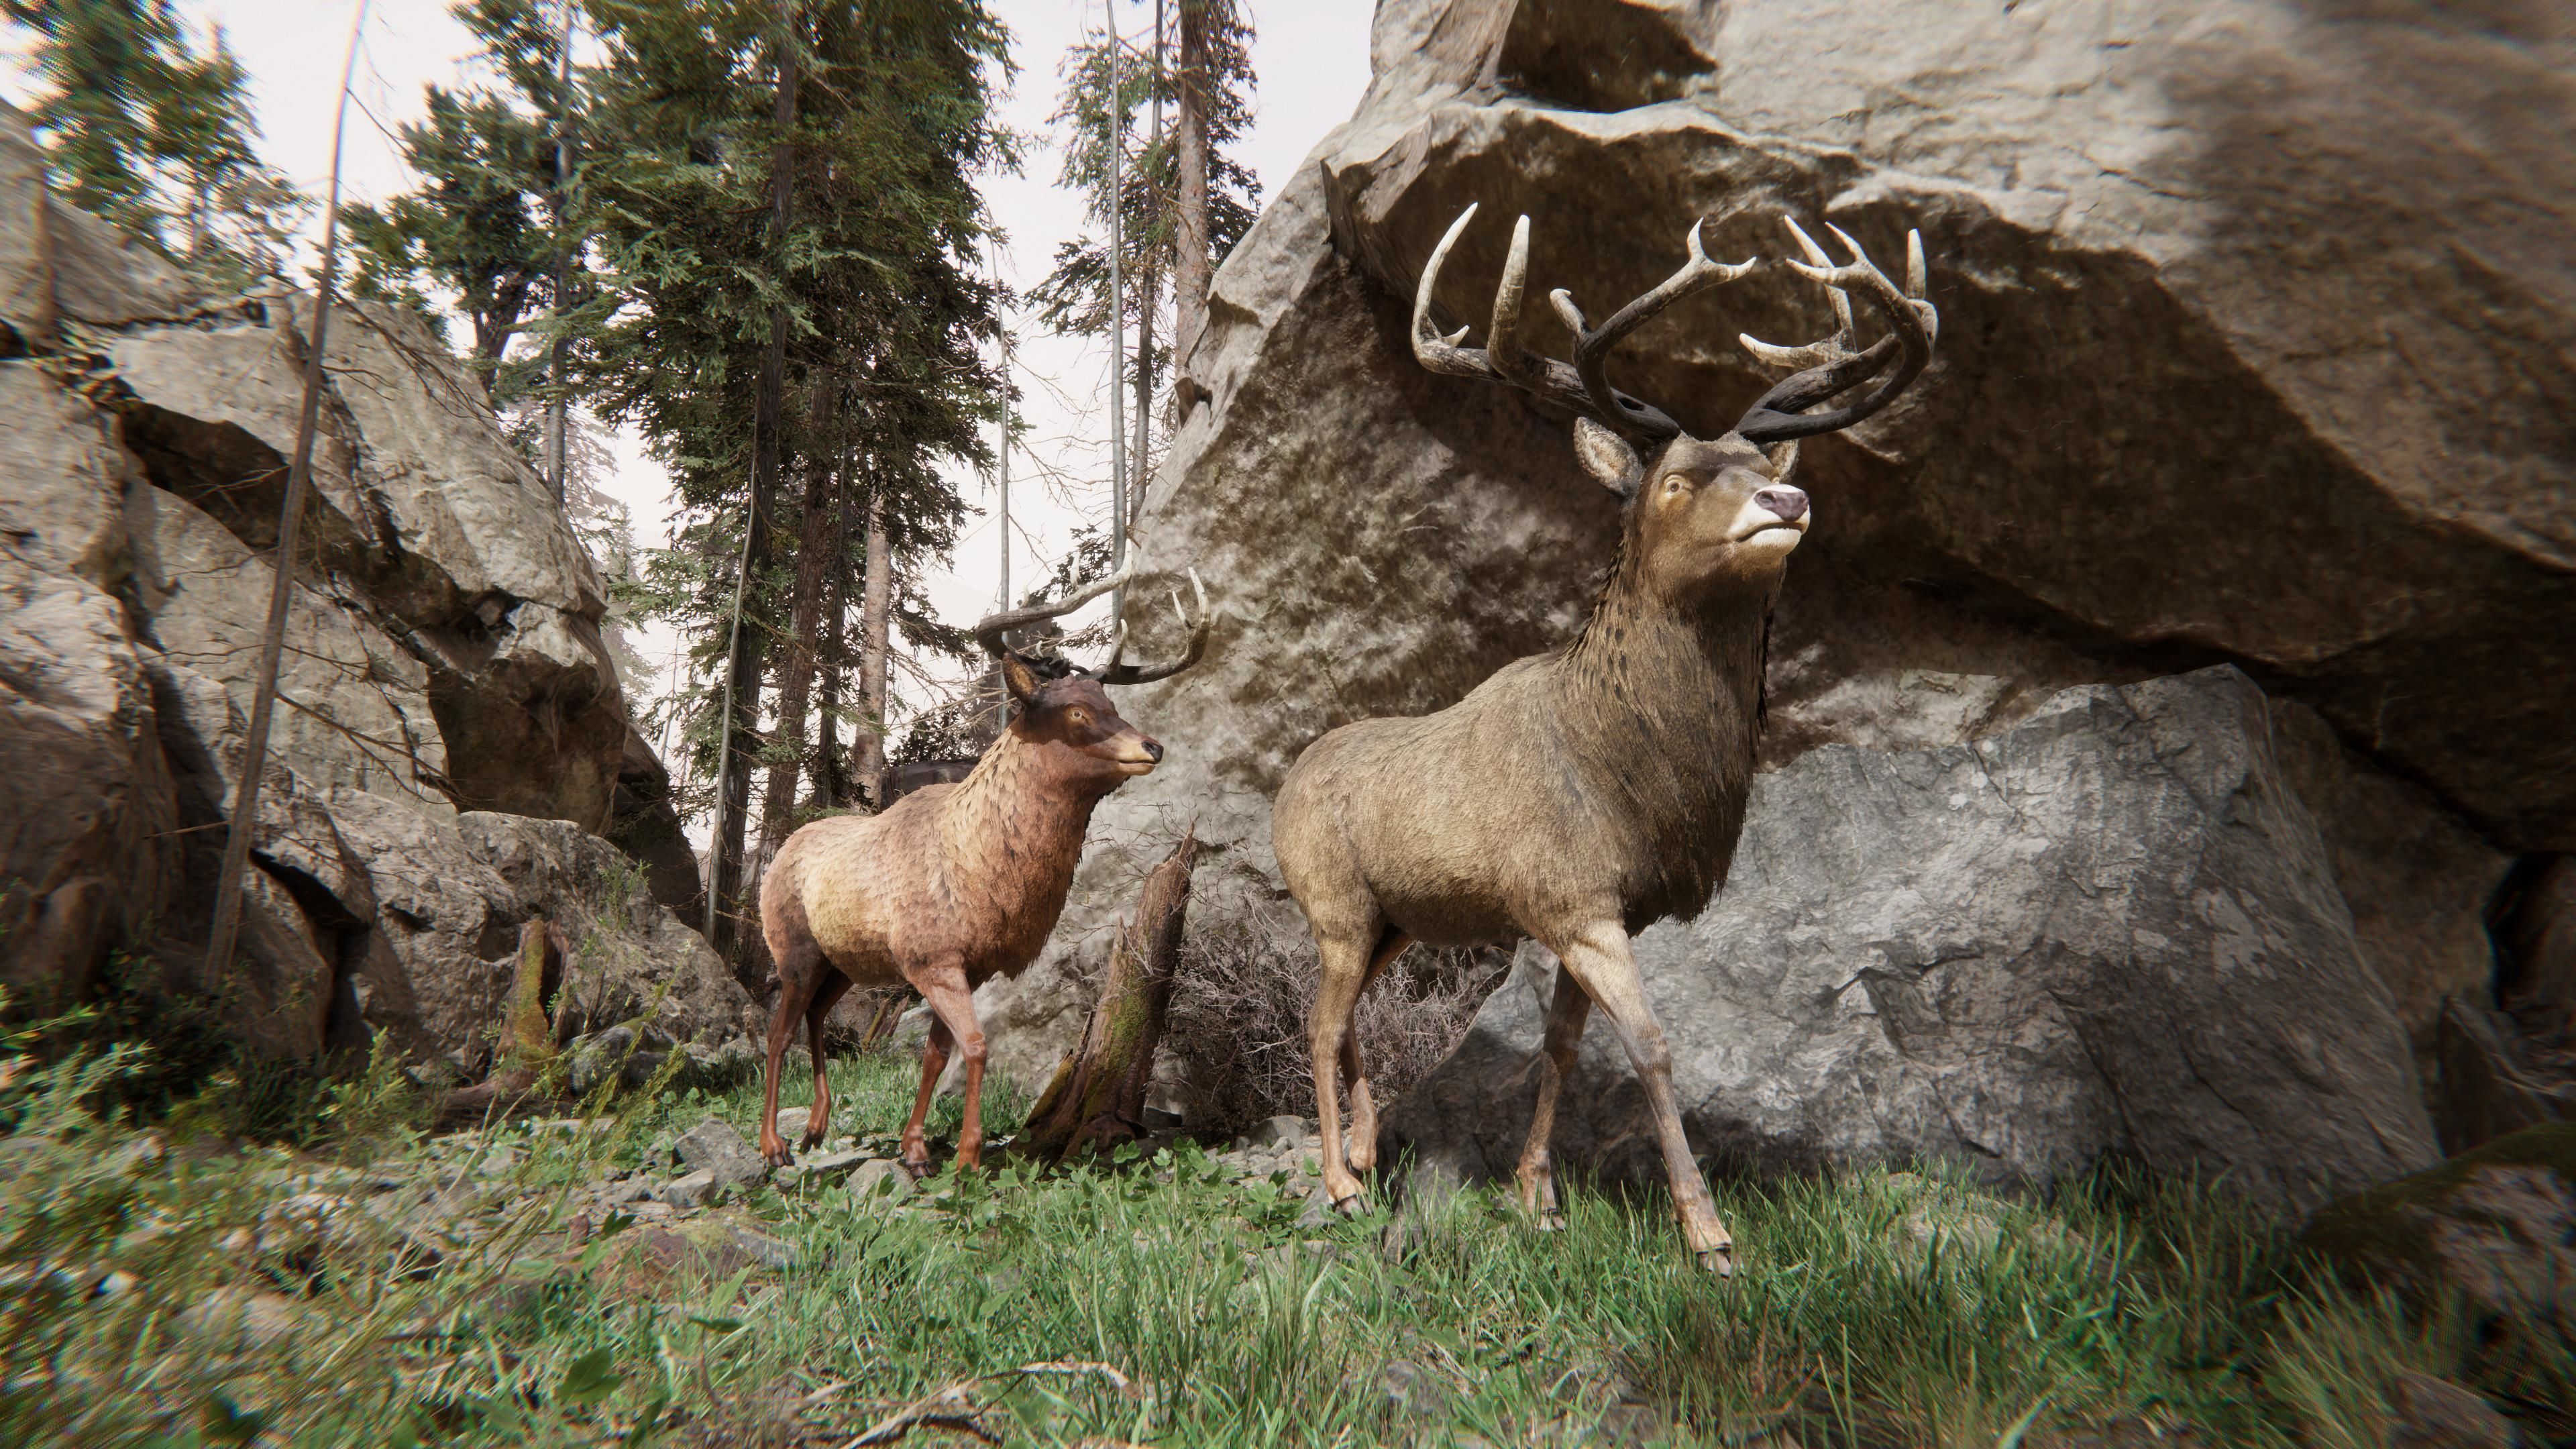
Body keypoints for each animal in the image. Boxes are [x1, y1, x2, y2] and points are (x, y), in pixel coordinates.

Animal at [754, 562, 1209, 1172]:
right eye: (1076, 711)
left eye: (1111, 703)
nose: (1152, 747)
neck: (979, 869)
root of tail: (780, 853)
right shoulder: (932, 956)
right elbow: (974, 1046)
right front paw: (967, 1155)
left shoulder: (968, 966)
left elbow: (934, 1052)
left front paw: (917, 1148)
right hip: (794, 949)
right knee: (778, 1033)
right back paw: (773, 1144)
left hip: (843, 961)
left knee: (816, 1017)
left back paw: (816, 1127)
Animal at [1270, 204, 1937, 1274]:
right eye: (1676, 481)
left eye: (1764, 463)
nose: (1786, 502)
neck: (1626, 778)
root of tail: (1281, 793)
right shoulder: (1575, 897)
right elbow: (1654, 1044)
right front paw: (1707, 1232)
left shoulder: (1587, 908)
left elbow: (1563, 1046)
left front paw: (1535, 1198)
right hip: (1330, 900)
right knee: (1319, 1018)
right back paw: (1338, 1181)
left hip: (1391, 919)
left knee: (1349, 1016)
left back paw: (1369, 1154)